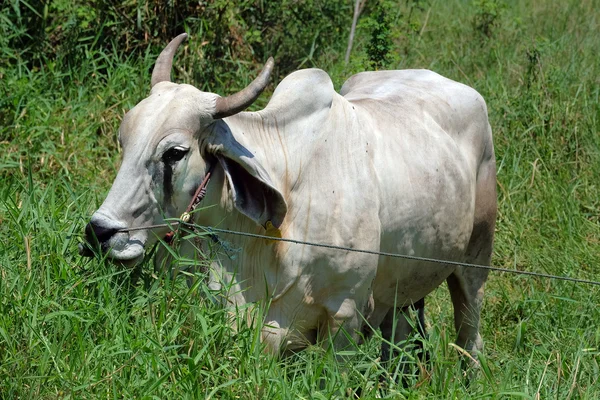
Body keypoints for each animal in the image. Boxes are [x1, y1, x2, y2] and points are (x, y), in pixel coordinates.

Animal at [84, 33, 496, 360]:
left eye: (174, 153)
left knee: (469, 335)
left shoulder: (346, 314)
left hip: (475, 261)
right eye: (123, 139)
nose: (99, 232)